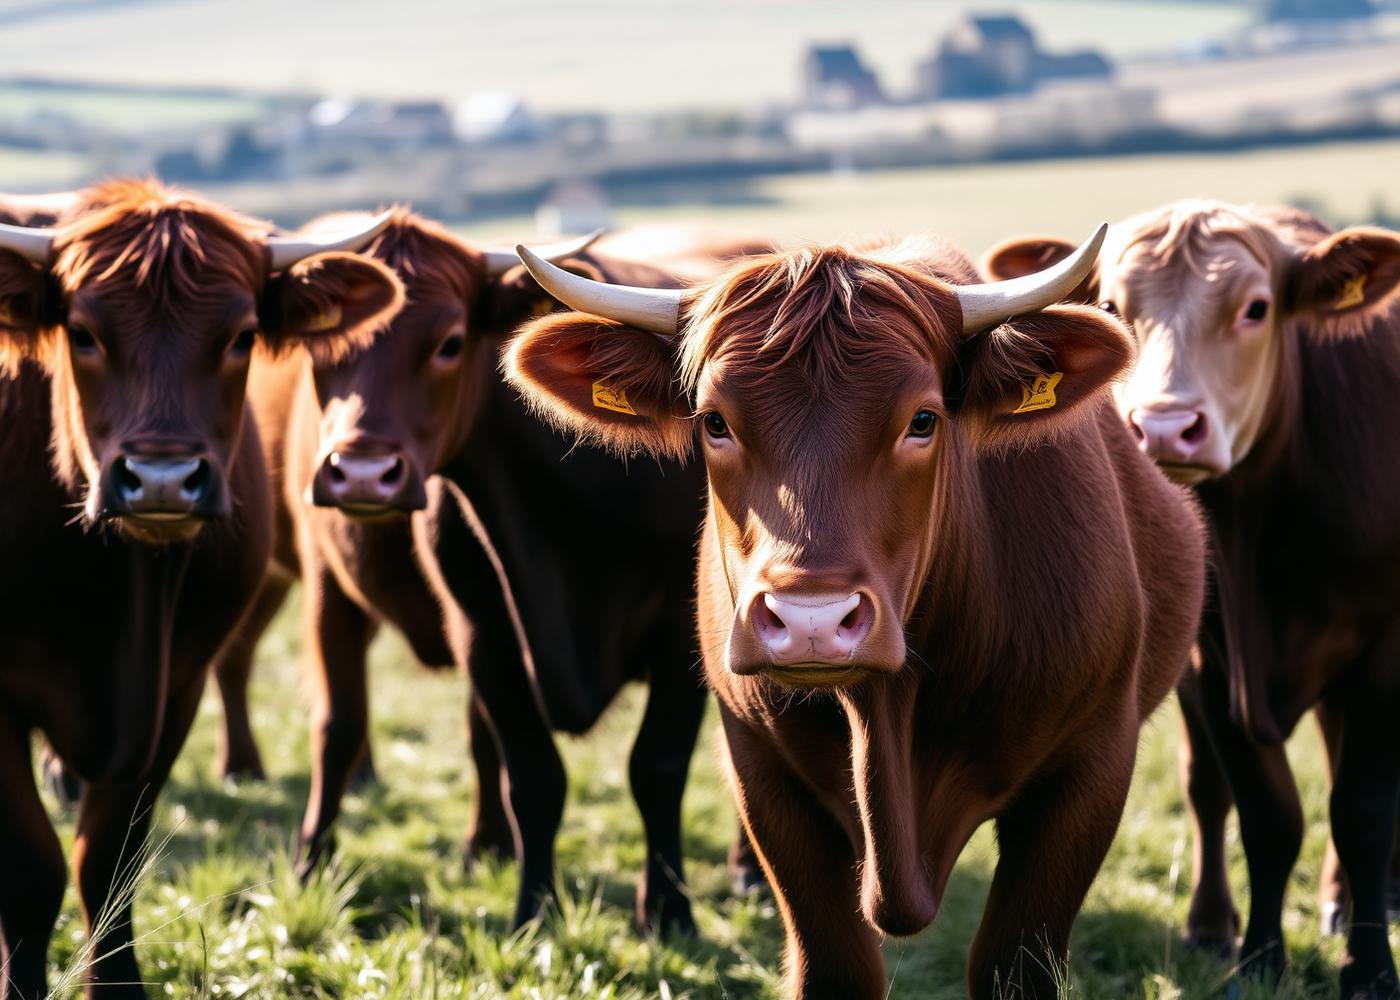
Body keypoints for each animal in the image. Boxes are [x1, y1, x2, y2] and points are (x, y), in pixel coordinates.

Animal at [0, 179, 402, 999]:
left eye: (243, 335)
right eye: (82, 332)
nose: (161, 479)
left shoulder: (175, 687)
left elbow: (108, 859)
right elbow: (31, 870)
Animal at [210, 208, 768, 935]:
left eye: (449, 342)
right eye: (323, 348)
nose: (361, 473)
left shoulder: (682, 636)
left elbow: (658, 767)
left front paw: (670, 912)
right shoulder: (485, 630)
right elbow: (530, 774)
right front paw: (533, 911)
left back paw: (749, 871)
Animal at [500, 226, 1206, 998]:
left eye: (923, 420)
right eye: (714, 421)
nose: (812, 621)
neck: (887, 715)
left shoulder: (1089, 767)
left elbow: (1015, 964)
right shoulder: (761, 770)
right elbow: (834, 965)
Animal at [985, 201, 1400, 999]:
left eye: (1256, 308)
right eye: (1114, 307)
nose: (1165, 427)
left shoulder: (1380, 650)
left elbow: (1363, 813)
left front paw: (1368, 968)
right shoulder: (1211, 659)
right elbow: (1267, 814)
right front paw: (1260, 957)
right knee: (1207, 790)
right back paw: (1213, 923)